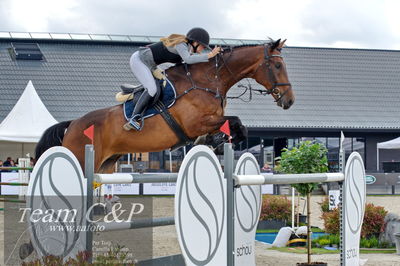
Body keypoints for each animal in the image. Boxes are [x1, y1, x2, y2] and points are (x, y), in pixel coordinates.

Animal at [35, 39, 294, 172]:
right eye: (278, 65)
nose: (289, 100)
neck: (207, 81)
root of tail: (72, 124)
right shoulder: (195, 123)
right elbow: (236, 123)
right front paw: (216, 142)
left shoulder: (209, 122)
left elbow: (238, 128)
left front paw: (215, 142)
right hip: (81, 158)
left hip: (106, 164)